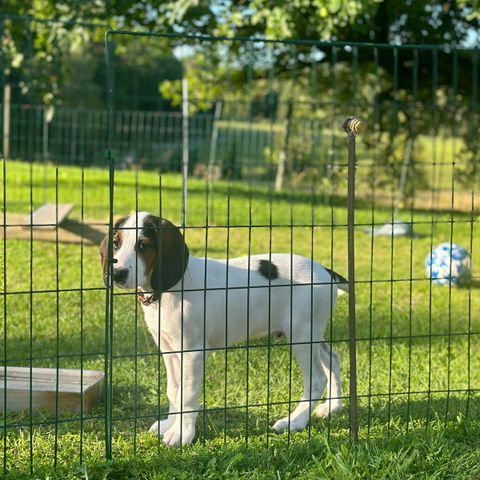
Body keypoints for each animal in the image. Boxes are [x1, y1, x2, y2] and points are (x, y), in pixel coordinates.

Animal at [100, 212, 344, 448]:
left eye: (143, 245)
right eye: (115, 243)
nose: (117, 273)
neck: (168, 291)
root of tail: (325, 271)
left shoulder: (192, 352)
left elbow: (187, 396)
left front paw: (182, 434)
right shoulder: (169, 350)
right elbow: (174, 391)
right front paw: (169, 424)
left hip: (301, 335)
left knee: (316, 379)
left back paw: (295, 421)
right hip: (311, 333)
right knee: (332, 358)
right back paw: (332, 407)